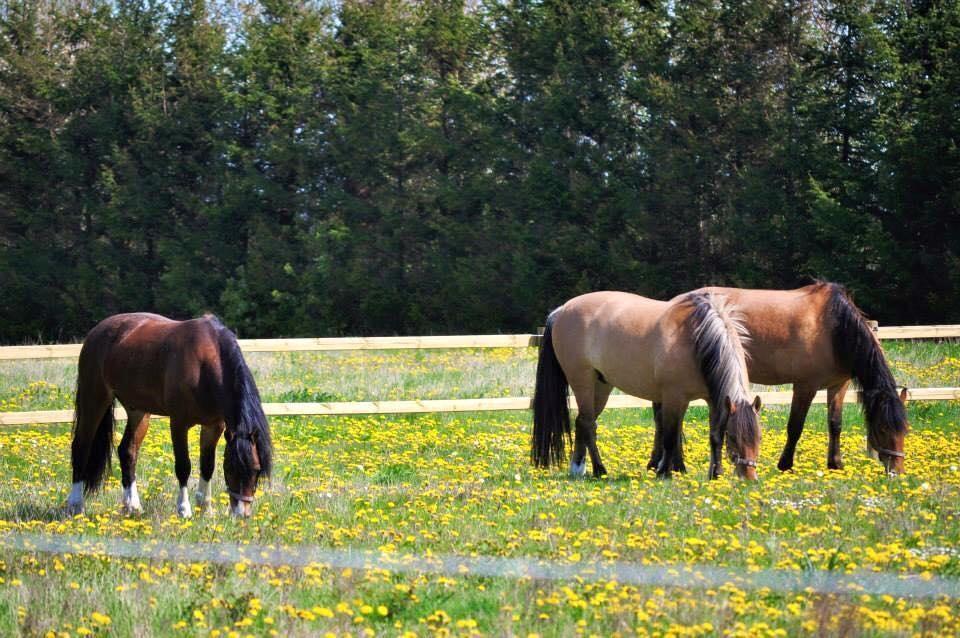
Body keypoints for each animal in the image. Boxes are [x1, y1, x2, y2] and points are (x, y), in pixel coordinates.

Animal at [65, 316, 272, 520]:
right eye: (229, 469)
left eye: (256, 469)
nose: (241, 515)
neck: (204, 362)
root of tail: (97, 331)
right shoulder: (179, 423)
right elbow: (183, 466)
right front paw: (184, 509)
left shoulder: (214, 427)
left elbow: (207, 466)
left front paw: (205, 509)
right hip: (95, 401)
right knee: (81, 447)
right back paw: (75, 505)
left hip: (138, 411)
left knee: (127, 451)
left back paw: (132, 506)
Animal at [528, 290, 760, 480]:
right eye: (734, 437)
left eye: (758, 436)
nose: (749, 478)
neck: (697, 337)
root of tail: (561, 310)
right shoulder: (674, 397)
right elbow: (670, 436)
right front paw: (664, 472)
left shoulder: (713, 399)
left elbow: (714, 436)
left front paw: (715, 475)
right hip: (582, 382)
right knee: (587, 423)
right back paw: (599, 470)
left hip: (600, 386)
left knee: (582, 422)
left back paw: (578, 468)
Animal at [644, 284, 908, 476]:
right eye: (883, 428)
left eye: (905, 430)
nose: (897, 472)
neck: (833, 327)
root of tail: (675, 302)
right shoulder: (805, 386)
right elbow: (795, 427)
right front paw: (785, 465)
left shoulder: (838, 385)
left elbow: (835, 424)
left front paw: (835, 464)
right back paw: (662, 463)